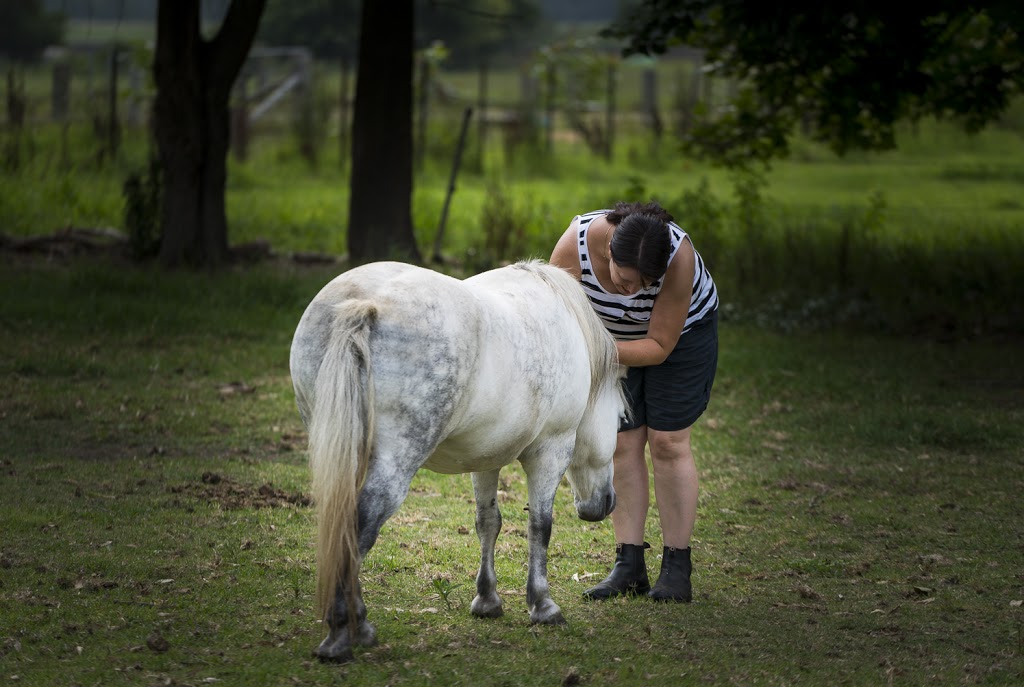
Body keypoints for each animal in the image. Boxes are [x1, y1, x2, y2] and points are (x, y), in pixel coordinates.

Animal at [288, 258, 622, 659]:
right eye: (622, 421)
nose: (602, 505)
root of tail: (364, 302)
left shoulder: (487, 457)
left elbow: (488, 522)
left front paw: (487, 600)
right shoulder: (551, 450)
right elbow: (540, 526)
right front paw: (542, 605)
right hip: (394, 465)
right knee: (359, 525)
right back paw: (344, 632)